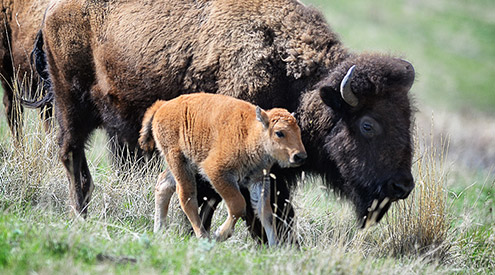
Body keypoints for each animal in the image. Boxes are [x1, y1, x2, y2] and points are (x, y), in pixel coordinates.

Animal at [140, 93, 306, 246]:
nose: (300, 156)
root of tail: (162, 107)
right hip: (179, 161)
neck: (251, 132)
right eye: (279, 132)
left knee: (163, 185)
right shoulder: (217, 173)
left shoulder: (258, 180)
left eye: (298, 131)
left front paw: (275, 246)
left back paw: (160, 230)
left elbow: (266, 213)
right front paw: (219, 234)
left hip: (181, 165)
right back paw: (203, 236)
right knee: (187, 197)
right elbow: (238, 205)